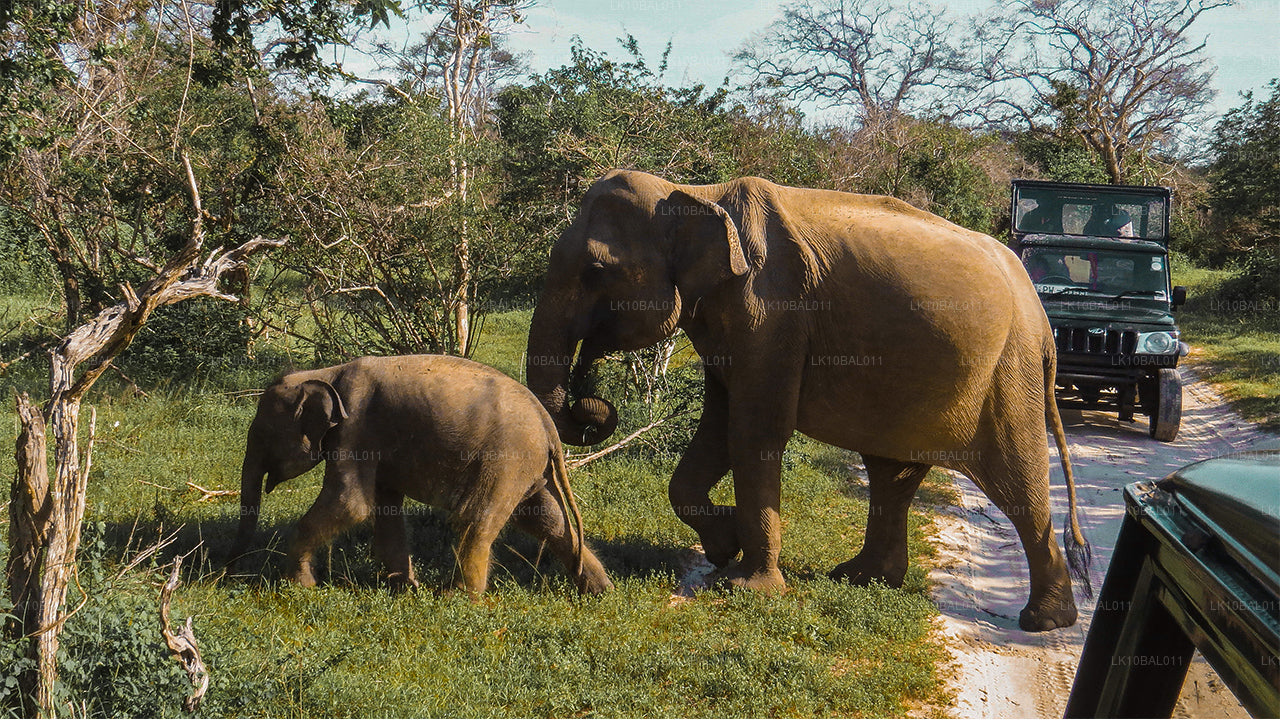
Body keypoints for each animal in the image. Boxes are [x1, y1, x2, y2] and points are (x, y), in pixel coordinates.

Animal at [230, 353, 614, 594]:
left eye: (261, 435)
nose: (230, 566)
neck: (327, 374)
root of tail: (549, 428)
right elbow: (383, 508)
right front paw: (403, 587)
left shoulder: (355, 429)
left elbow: (349, 503)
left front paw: (300, 585)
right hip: (525, 467)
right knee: (545, 520)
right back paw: (599, 590)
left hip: (505, 458)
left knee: (476, 519)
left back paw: (457, 598)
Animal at [522, 169, 1090, 627]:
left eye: (595, 272)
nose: (591, 406)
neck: (694, 193)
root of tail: (1040, 316)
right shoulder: (734, 320)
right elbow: (718, 427)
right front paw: (723, 547)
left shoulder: (771, 310)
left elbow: (754, 430)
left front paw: (745, 588)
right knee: (892, 476)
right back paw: (860, 578)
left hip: (1008, 372)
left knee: (1016, 480)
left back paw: (1044, 621)